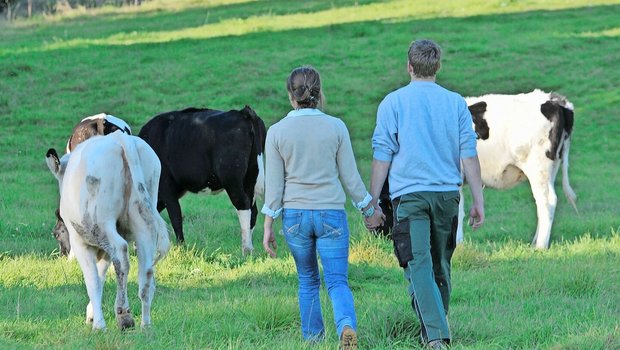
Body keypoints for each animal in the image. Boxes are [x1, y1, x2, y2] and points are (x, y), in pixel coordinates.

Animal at [46, 132, 171, 330]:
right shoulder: (104, 250)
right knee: (146, 271)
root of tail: (121, 138)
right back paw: (146, 324)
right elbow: (101, 275)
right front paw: (91, 314)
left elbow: (93, 281)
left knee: (121, 253)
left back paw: (124, 314)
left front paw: (98, 323)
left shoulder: (81, 243)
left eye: (57, 234)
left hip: (101, 224)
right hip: (142, 222)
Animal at [137, 104, 266, 254]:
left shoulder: (165, 186)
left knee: (242, 204)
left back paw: (246, 248)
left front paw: (181, 247)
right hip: (250, 178)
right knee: (253, 210)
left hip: (232, 179)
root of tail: (242, 113)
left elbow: (175, 217)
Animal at [378, 90, 576, 249]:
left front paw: (455, 243)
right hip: (551, 168)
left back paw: (540, 246)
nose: (379, 236)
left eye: (384, 208)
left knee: (547, 201)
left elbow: (456, 209)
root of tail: (554, 100)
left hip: (538, 167)